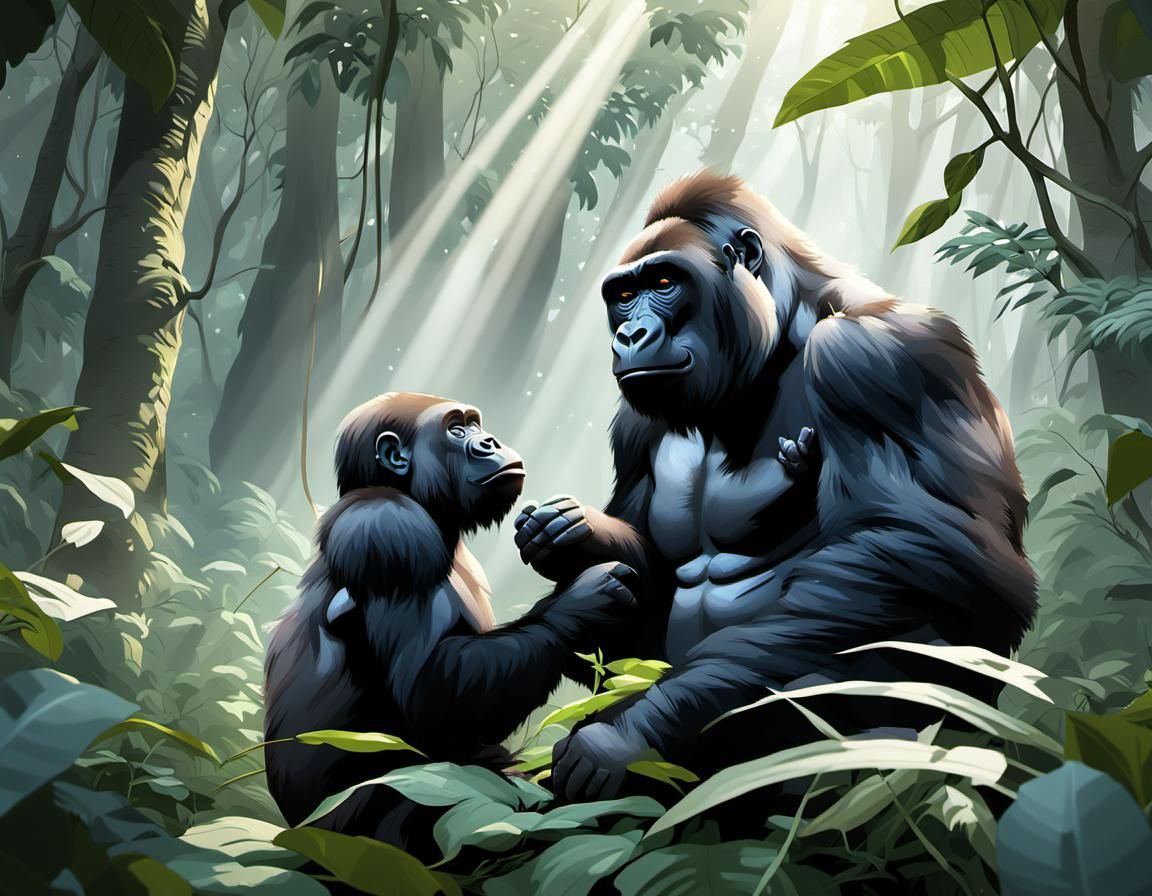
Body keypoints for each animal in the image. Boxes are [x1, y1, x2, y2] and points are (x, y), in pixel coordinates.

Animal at [263, 392, 636, 855]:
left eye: (476, 424)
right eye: (456, 430)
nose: (490, 442)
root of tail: (295, 840)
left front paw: (568, 529)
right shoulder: (390, 533)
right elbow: (428, 691)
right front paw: (583, 600)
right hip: (353, 838)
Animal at [513, 171, 1037, 802]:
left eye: (664, 282)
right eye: (622, 294)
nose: (630, 334)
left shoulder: (878, 355)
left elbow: (931, 554)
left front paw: (630, 731)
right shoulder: (635, 425)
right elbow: (645, 565)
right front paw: (568, 535)